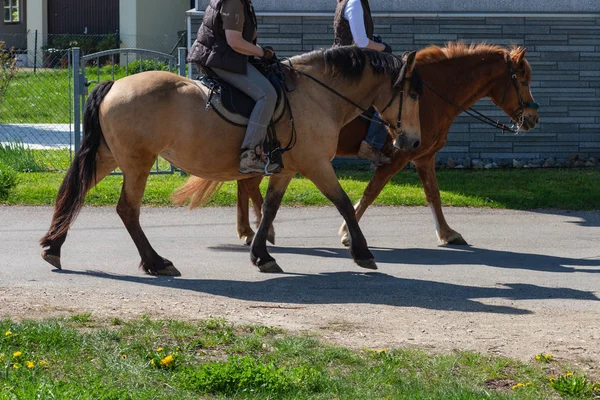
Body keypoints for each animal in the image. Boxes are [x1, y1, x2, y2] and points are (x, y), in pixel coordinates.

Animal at [38, 46, 422, 276]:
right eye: (413, 93)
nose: (413, 141)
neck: (316, 96)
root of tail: (116, 83)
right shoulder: (316, 165)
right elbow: (342, 202)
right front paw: (362, 251)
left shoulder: (288, 169)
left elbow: (269, 208)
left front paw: (262, 254)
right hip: (137, 162)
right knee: (127, 210)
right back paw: (155, 262)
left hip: (108, 156)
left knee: (76, 193)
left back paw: (53, 248)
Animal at [204, 42, 540, 247]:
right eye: (522, 81)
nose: (533, 118)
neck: (431, 95)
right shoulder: (399, 157)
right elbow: (371, 191)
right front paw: (346, 233)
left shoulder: (423, 157)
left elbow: (433, 195)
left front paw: (446, 233)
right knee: (248, 184)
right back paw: (259, 230)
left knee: (244, 184)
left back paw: (248, 230)